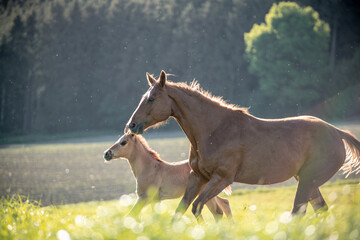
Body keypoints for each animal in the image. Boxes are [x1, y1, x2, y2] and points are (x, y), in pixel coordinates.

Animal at [102, 131, 232, 221]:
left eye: (123, 142)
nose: (106, 154)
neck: (149, 168)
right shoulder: (154, 200)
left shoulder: (145, 197)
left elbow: (132, 214)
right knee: (224, 204)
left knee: (217, 211)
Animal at [126, 70, 360, 218]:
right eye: (144, 96)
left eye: (152, 99)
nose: (131, 125)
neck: (214, 130)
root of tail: (337, 132)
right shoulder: (198, 177)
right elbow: (182, 211)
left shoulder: (221, 178)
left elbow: (200, 208)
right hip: (306, 181)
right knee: (319, 210)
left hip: (308, 181)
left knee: (298, 213)